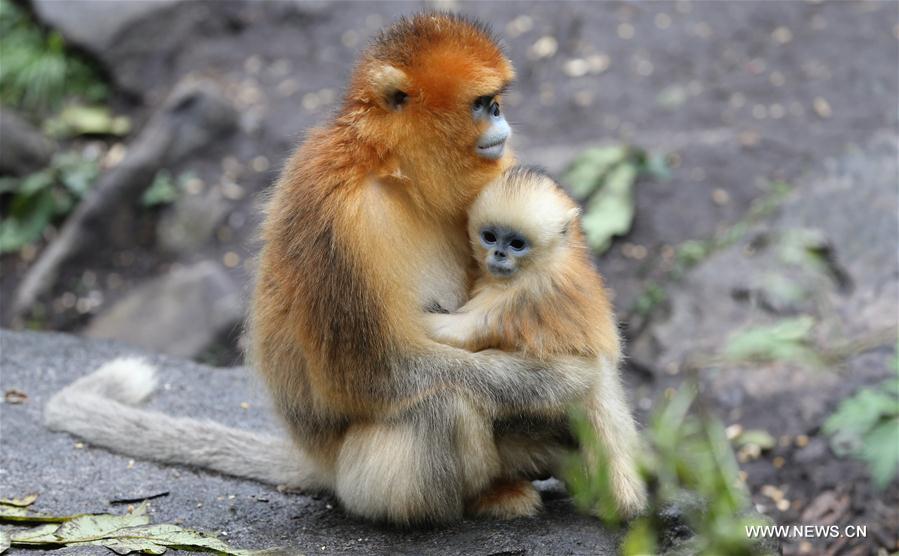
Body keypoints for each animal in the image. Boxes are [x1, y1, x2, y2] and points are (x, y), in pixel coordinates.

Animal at [428, 165, 648, 516]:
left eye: (517, 244)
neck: (544, 263)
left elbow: (458, 332)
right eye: (490, 237)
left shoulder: (523, 298)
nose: (498, 254)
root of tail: (605, 380)